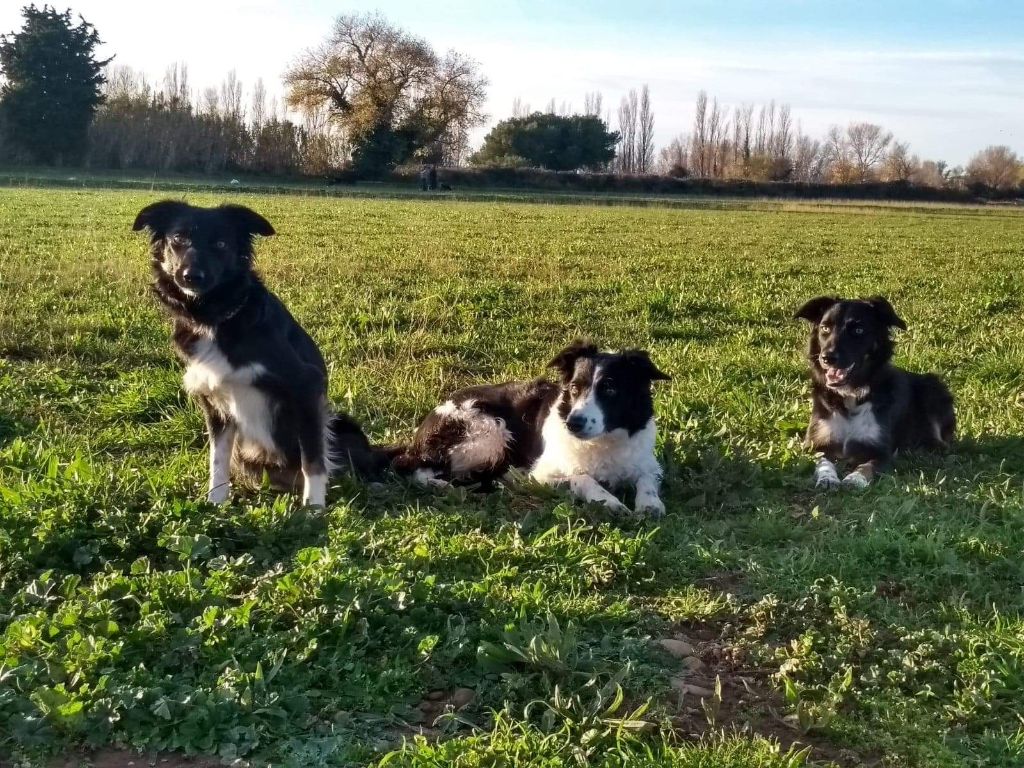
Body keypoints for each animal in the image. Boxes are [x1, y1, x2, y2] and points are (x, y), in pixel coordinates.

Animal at [132, 201, 380, 507]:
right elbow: (218, 461)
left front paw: (314, 509)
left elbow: (313, 461)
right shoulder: (215, 404)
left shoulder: (306, 387)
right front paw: (215, 503)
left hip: (341, 425)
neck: (215, 319)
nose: (191, 276)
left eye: (221, 243)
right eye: (178, 238)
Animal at [391, 342, 671, 518]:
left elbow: (646, 480)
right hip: (489, 431)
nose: (573, 423)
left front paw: (650, 504)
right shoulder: (541, 475)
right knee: (416, 468)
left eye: (610, 389)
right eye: (574, 388)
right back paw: (444, 485)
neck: (603, 441)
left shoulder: (648, 464)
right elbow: (582, 477)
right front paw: (609, 501)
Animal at [794, 294, 954, 487]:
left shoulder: (880, 450)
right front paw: (828, 478)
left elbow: (867, 466)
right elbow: (823, 462)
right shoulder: (816, 444)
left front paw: (855, 479)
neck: (851, 395)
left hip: (933, 386)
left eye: (858, 330)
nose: (827, 357)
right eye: (825, 328)